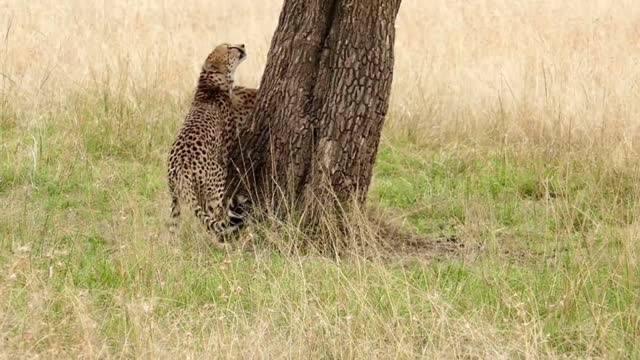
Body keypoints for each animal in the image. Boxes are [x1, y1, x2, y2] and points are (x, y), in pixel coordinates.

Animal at [168, 43, 250, 245]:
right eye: (229, 48)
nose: (242, 45)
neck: (209, 81)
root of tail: (181, 168)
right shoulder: (228, 146)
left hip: (175, 199)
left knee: (174, 224)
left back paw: (171, 247)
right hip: (216, 186)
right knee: (216, 218)